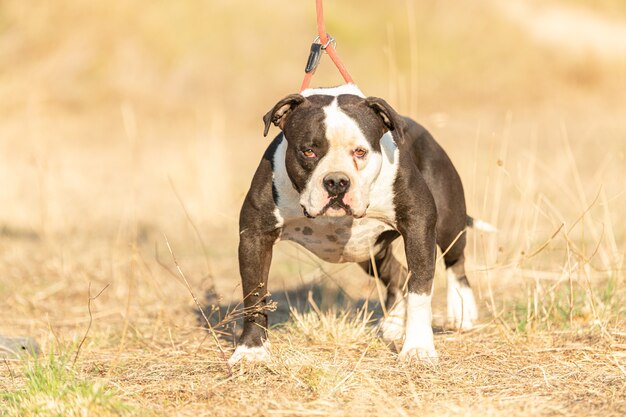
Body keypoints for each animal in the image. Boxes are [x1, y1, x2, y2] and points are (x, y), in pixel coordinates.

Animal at [227, 84, 490, 364]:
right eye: (309, 151)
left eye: (360, 151)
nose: (336, 181)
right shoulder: (255, 236)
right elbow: (255, 294)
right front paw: (251, 350)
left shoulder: (418, 224)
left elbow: (420, 290)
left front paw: (418, 348)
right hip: (369, 251)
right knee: (398, 274)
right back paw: (393, 324)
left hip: (448, 224)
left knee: (455, 263)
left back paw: (461, 311)